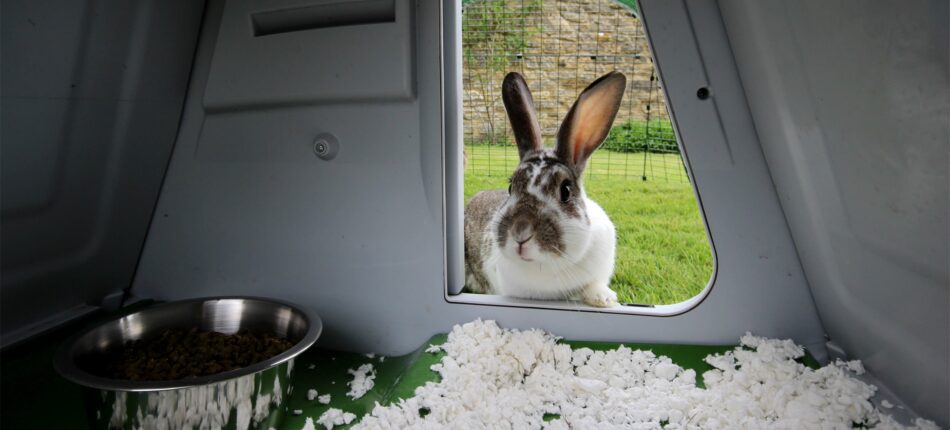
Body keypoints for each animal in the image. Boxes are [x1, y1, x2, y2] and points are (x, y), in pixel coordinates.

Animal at [464, 71, 628, 306]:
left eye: (565, 191)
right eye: (511, 186)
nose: (520, 233)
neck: (549, 266)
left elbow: (592, 284)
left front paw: (604, 298)